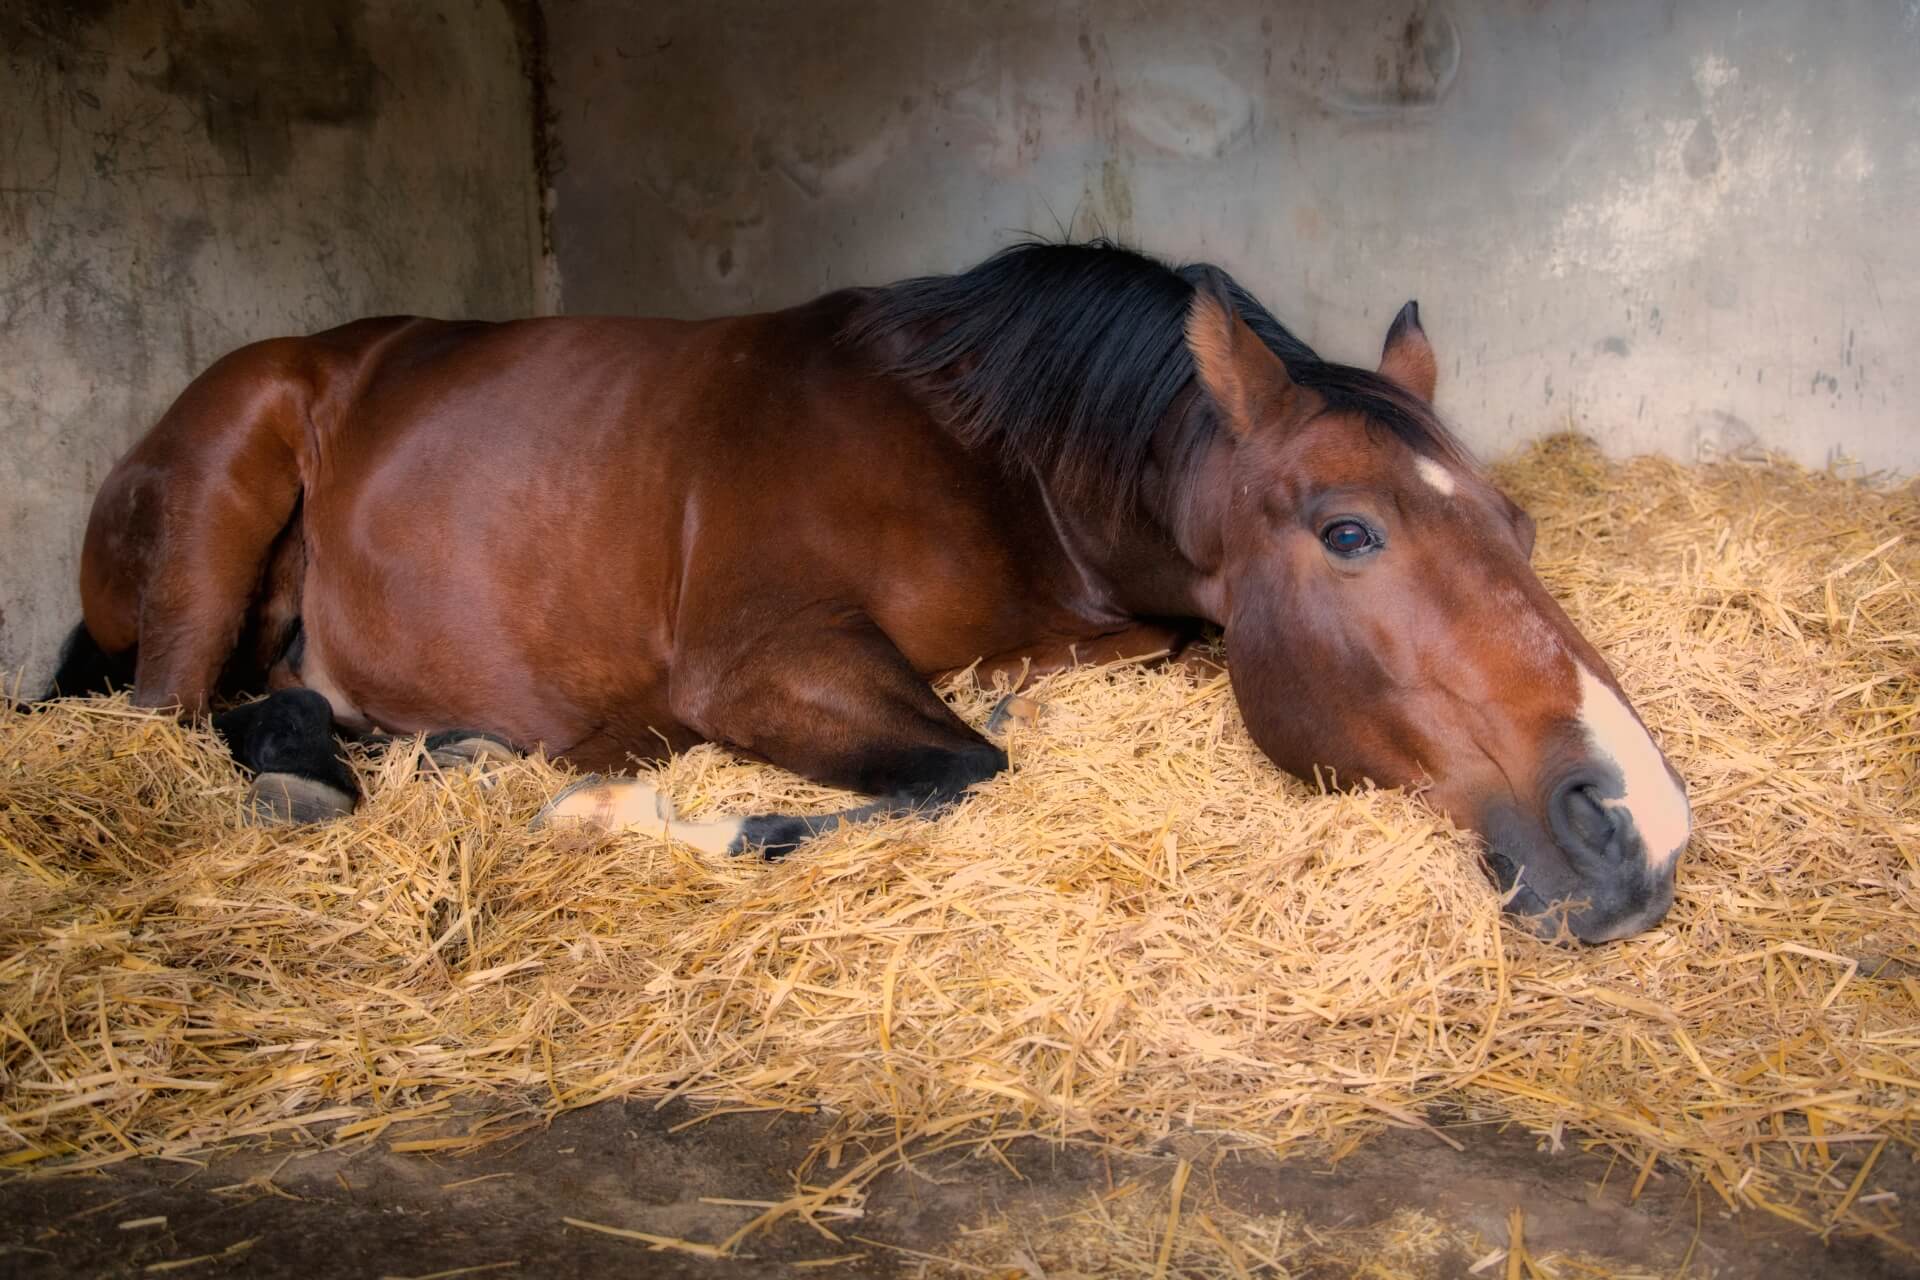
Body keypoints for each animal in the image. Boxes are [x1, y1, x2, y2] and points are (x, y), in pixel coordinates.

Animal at [48, 239, 1697, 940]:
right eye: (1350, 534)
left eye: (1519, 522)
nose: (1642, 825)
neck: (984, 452)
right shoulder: (762, 661)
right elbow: (963, 772)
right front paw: (621, 813)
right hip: (220, 514)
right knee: (171, 716)